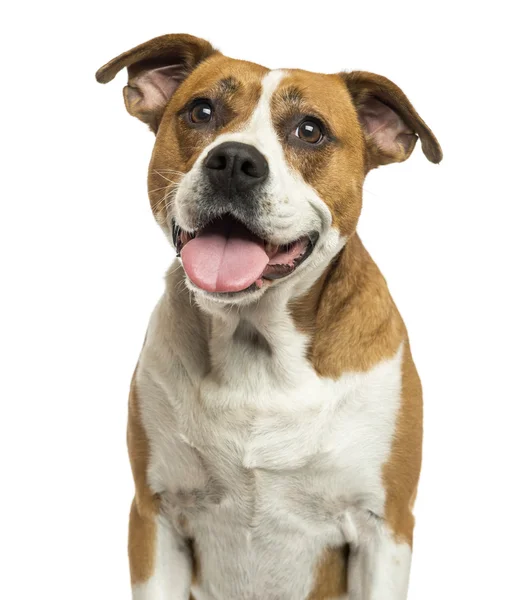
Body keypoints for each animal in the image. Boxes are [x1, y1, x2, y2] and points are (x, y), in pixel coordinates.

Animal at [96, 34, 440, 600]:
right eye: (201, 110)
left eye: (310, 130)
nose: (234, 159)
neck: (255, 337)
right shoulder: (154, 516)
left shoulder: (385, 527)